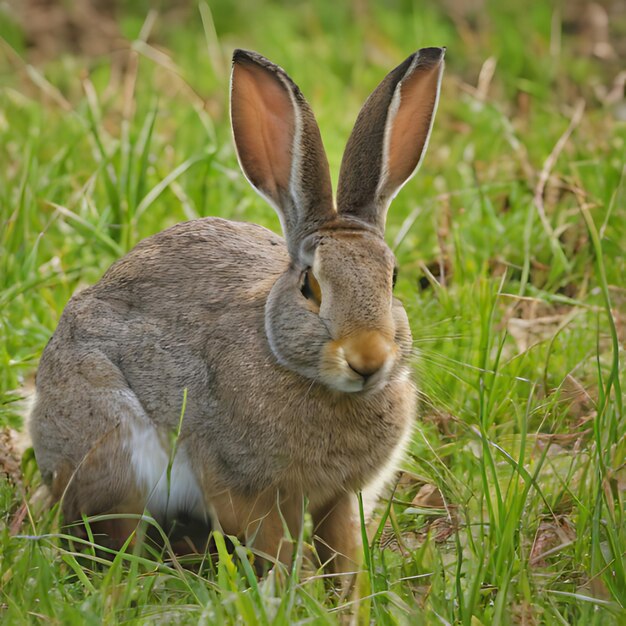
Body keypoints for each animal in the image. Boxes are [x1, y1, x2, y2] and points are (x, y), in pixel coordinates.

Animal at [29, 47, 444, 572]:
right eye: (309, 286)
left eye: (392, 280)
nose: (367, 359)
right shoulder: (247, 491)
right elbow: (276, 548)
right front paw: (292, 588)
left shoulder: (343, 499)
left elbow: (342, 551)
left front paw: (348, 592)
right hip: (114, 446)